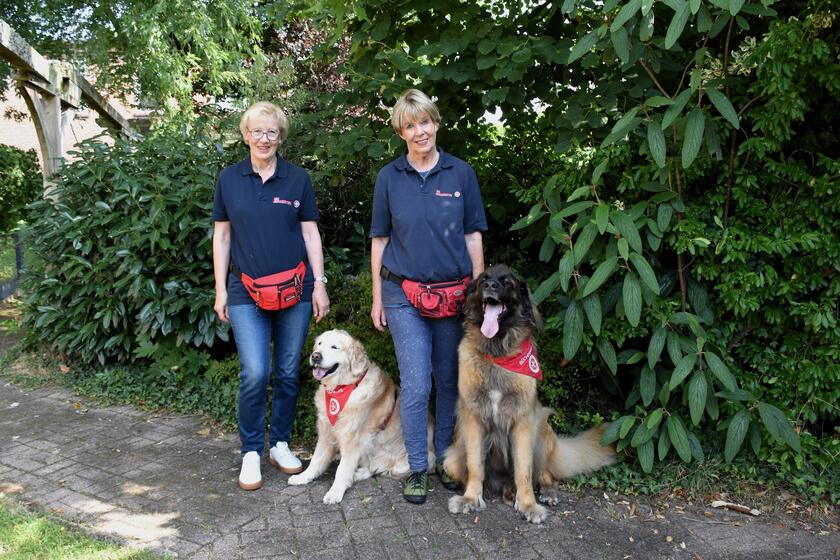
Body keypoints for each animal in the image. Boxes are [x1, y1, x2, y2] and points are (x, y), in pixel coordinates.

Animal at [442, 264, 612, 524]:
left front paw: (528, 504)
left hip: (541, 430)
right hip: (451, 457)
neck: (498, 352)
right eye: (483, 280)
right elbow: (475, 464)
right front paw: (470, 498)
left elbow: (523, 469)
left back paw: (544, 493)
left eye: (507, 282)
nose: (490, 286)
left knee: (545, 474)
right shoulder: (473, 419)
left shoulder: (522, 421)